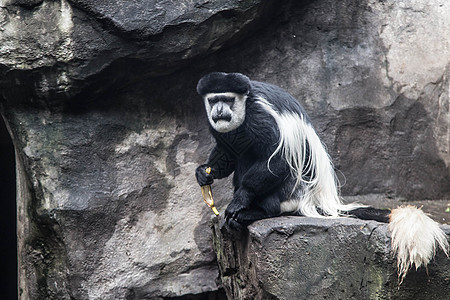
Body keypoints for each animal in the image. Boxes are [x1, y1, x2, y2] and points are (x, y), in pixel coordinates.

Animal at [195, 72, 448, 282]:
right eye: (213, 100)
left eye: (227, 100)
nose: (219, 111)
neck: (244, 107)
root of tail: (314, 199)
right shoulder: (222, 130)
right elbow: (228, 153)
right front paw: (203, 173)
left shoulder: (260, 117)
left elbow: (276, 157)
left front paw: (239, 201)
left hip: (290, 190)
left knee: (263, 163)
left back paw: (255, 212)